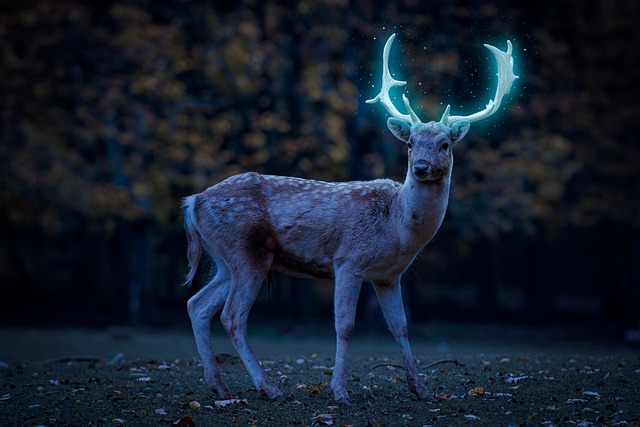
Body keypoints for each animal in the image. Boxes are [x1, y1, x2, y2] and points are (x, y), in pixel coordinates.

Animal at [182, 33, 518, 405]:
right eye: (410, 143)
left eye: (444, 144)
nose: (420, 167)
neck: (396, 228)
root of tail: (193, 201)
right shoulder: (348, 261)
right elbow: (345, 325)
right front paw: (340, 391)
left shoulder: (388, 276)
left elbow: (400, 326)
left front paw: (422, 390)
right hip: (246, 251)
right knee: (232, 316)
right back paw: (268, 388)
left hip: (225, 259)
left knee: (197, 304)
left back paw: (219, 387)